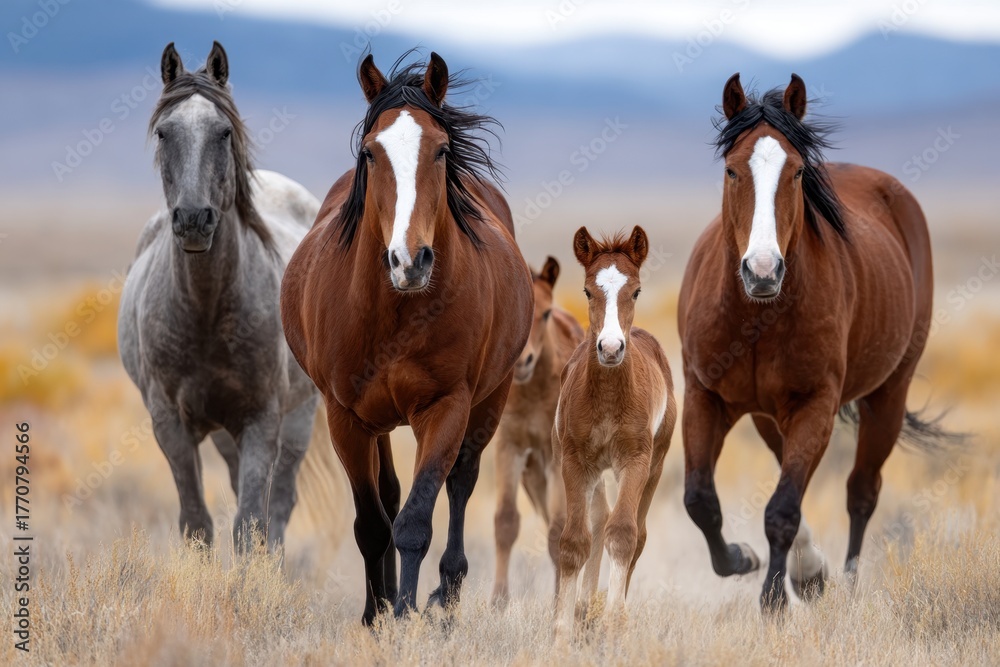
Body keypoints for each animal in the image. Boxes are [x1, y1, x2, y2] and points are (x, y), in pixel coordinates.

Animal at [118, 42, 324, 551]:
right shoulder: (170, 425)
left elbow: (251, 524)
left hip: (298, 418)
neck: (205, 311)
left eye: (224, 131)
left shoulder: (262, 421)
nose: (194, 219)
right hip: (223, 435)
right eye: (164, 132)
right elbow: (196, 523)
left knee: (279, 506)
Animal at [280, 52, 533, 623]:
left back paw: (448, 591)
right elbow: (374, 524)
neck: (394, 313)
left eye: (440, 150)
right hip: (378, 420)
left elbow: (416, 521)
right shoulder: (345, 416)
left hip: (491, 398)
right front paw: (375, 615)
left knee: (461, 482)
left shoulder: (445, 406)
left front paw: (405, 613)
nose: (409, 260)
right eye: (370, 153)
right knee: (390, 494)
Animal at [490, 256, 584, 607]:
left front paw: (560, 605)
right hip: (533, 477)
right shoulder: (509, 448)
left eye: (545, 312)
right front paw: (497, 603)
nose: (523, 362)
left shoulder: (557, 458)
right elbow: (506, 521)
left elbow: (559, 531)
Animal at [552, 226, 676, 636]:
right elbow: (574, 541)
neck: (607, 399)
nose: (609, 348)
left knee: (636, 533)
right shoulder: (575, 462)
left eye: (635, 290)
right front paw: (563, 630)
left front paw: (613, 625)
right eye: (588, 290)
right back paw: (583, 607)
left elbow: (623, 535)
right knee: (598, 520)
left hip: (654, 465)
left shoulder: (635, 460)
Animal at [678, 73, 953, 612]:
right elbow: (701, 501)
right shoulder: (705, 396)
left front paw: (775, 600)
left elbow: (782, 509)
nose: (763, 270)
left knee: (862, 492)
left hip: (888, 394)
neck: (755, 317)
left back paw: (844, 582)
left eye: (798, 172)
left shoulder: (814, 404)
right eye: (732, 170)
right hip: (767, 415)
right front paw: (745, 559)